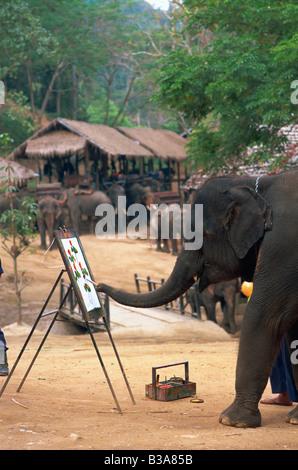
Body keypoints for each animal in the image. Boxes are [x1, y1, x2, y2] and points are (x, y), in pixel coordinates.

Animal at [96, 170, 296, 430]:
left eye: (203, 235)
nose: (97, 285)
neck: (253, 182)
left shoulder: (283, 245)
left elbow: (265, 316)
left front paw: (231, 421)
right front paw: (294, 419)